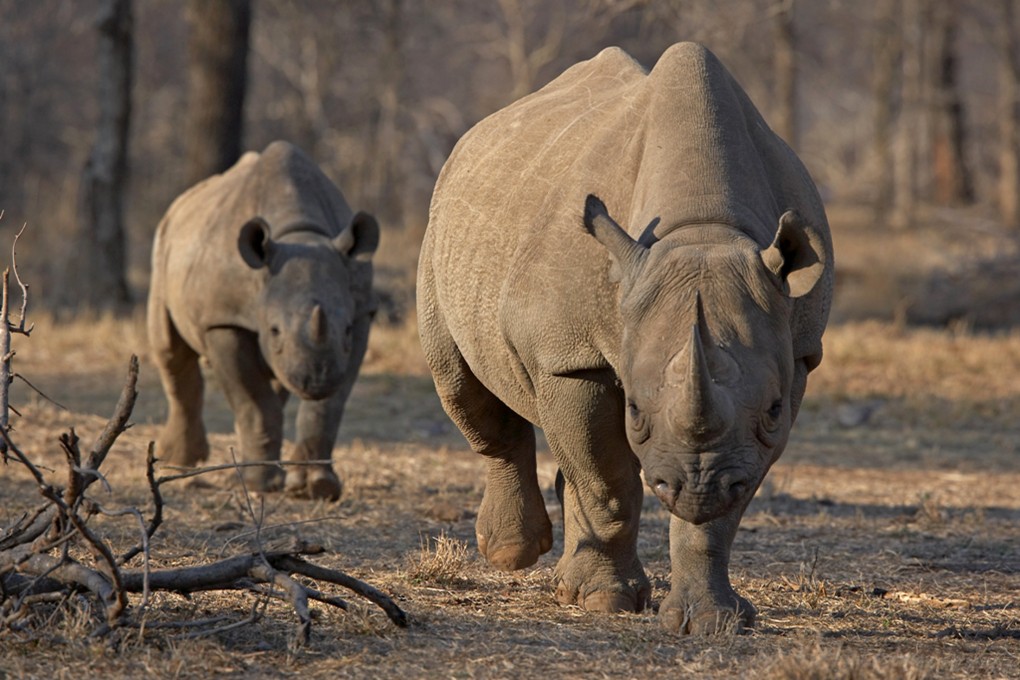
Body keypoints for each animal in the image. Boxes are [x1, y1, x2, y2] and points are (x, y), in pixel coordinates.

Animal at [148, 141, 378, 500]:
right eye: (274, 330)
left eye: (346, 330)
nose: (316, 380)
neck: (300, 235)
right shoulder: (225, 320)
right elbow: (253, 402)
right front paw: (261, 486)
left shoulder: (361, 311)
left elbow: (328, 407)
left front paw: (317, 488)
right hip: (163, 243)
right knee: (169, 350)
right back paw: (181, 462)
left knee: (275, 381)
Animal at [417, 43, 832, 633]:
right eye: (635, 409)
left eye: (773, 411)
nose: (696, 487)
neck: (703, 228)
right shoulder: (570, 355)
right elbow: (608, 478)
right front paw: (604, 602)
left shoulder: (794, 355)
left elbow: (725, 503)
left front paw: (712, 621)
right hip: (443, 233)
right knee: (462, 384)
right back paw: (513, 554)